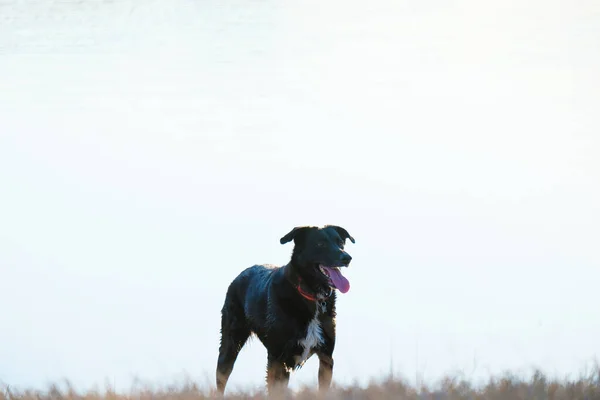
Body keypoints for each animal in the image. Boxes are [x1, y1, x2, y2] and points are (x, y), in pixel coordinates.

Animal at [217, 223, 354, 396]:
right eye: (320, 244)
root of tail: (241, 273)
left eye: (340, 242)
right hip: (229, 346)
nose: (347, 257)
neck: (311, 295)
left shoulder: (326, 358)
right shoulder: (277, 359)